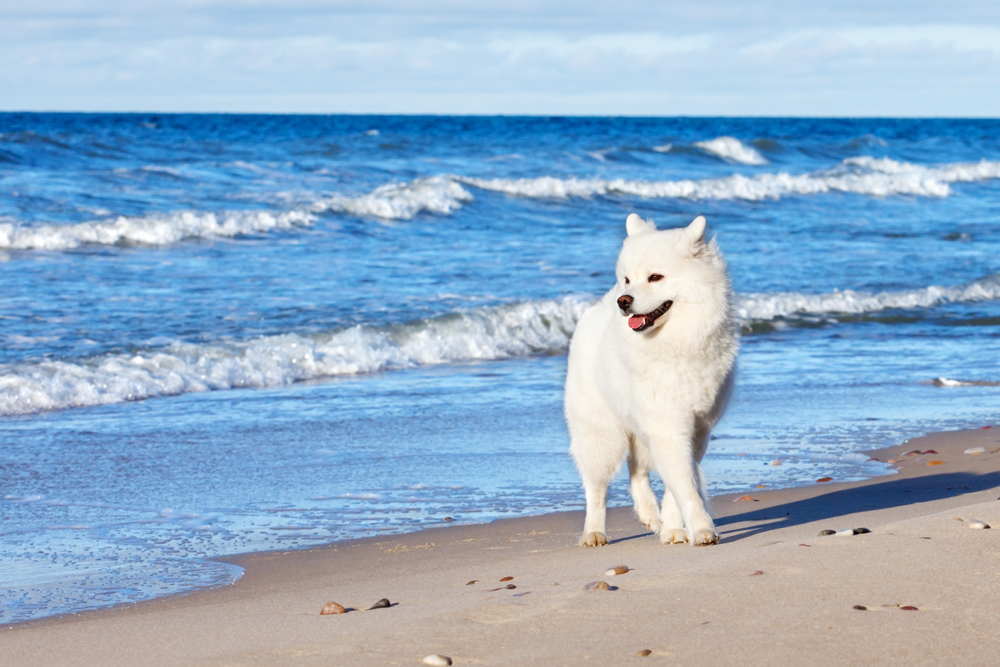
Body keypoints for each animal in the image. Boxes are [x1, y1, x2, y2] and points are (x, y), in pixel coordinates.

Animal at [568, 214, 740, 548]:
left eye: (655, 277)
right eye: (628, 279)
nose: (623, 300)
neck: (677, 343)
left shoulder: (695, 430)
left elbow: (677, 486)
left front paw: (674, 529)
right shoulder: (668, 428)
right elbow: (686, 487)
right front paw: (702, 529)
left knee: (636, 469)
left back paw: (651, 516)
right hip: (601, 433)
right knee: (596, 488)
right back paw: (594, 532)